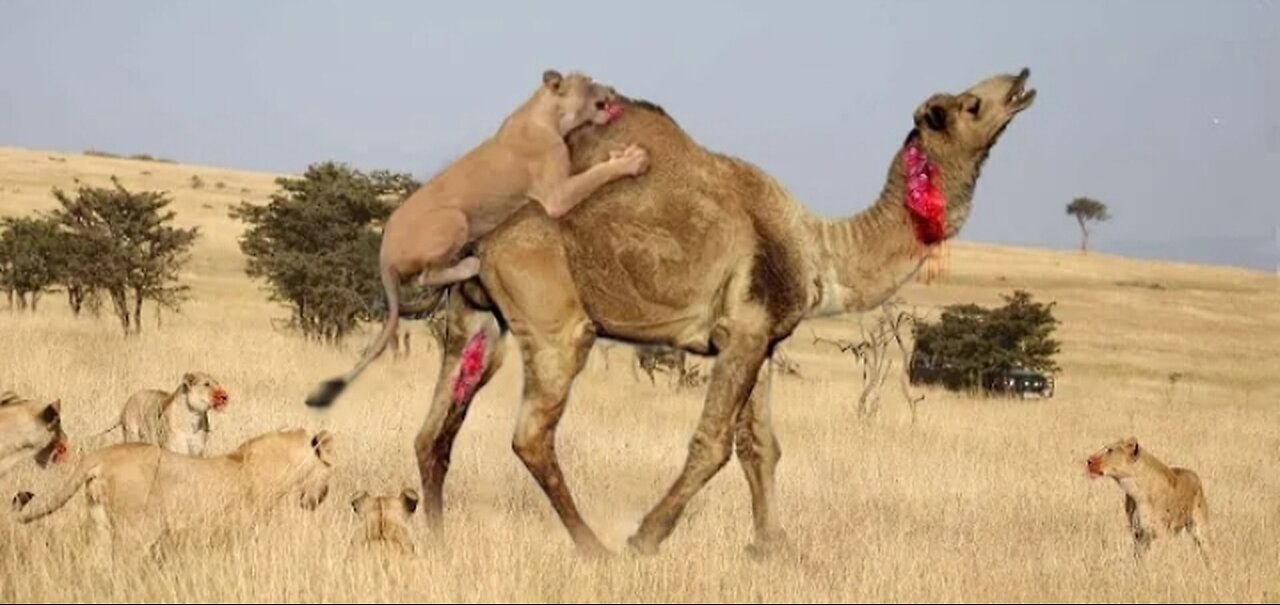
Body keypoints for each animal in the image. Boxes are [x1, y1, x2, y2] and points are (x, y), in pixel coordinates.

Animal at [314, 68, 1034, 555]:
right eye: (969, 103)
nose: (1022, 80)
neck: (819, 248)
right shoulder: (743, 329)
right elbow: (712, 444)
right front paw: (646, 538)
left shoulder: (761, 337)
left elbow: (761, 447)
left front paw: (770, 549)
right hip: (554, 316)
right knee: (529, 433)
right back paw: (594, 547)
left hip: (476, 316)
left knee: (435, 428)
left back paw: (438, 537)